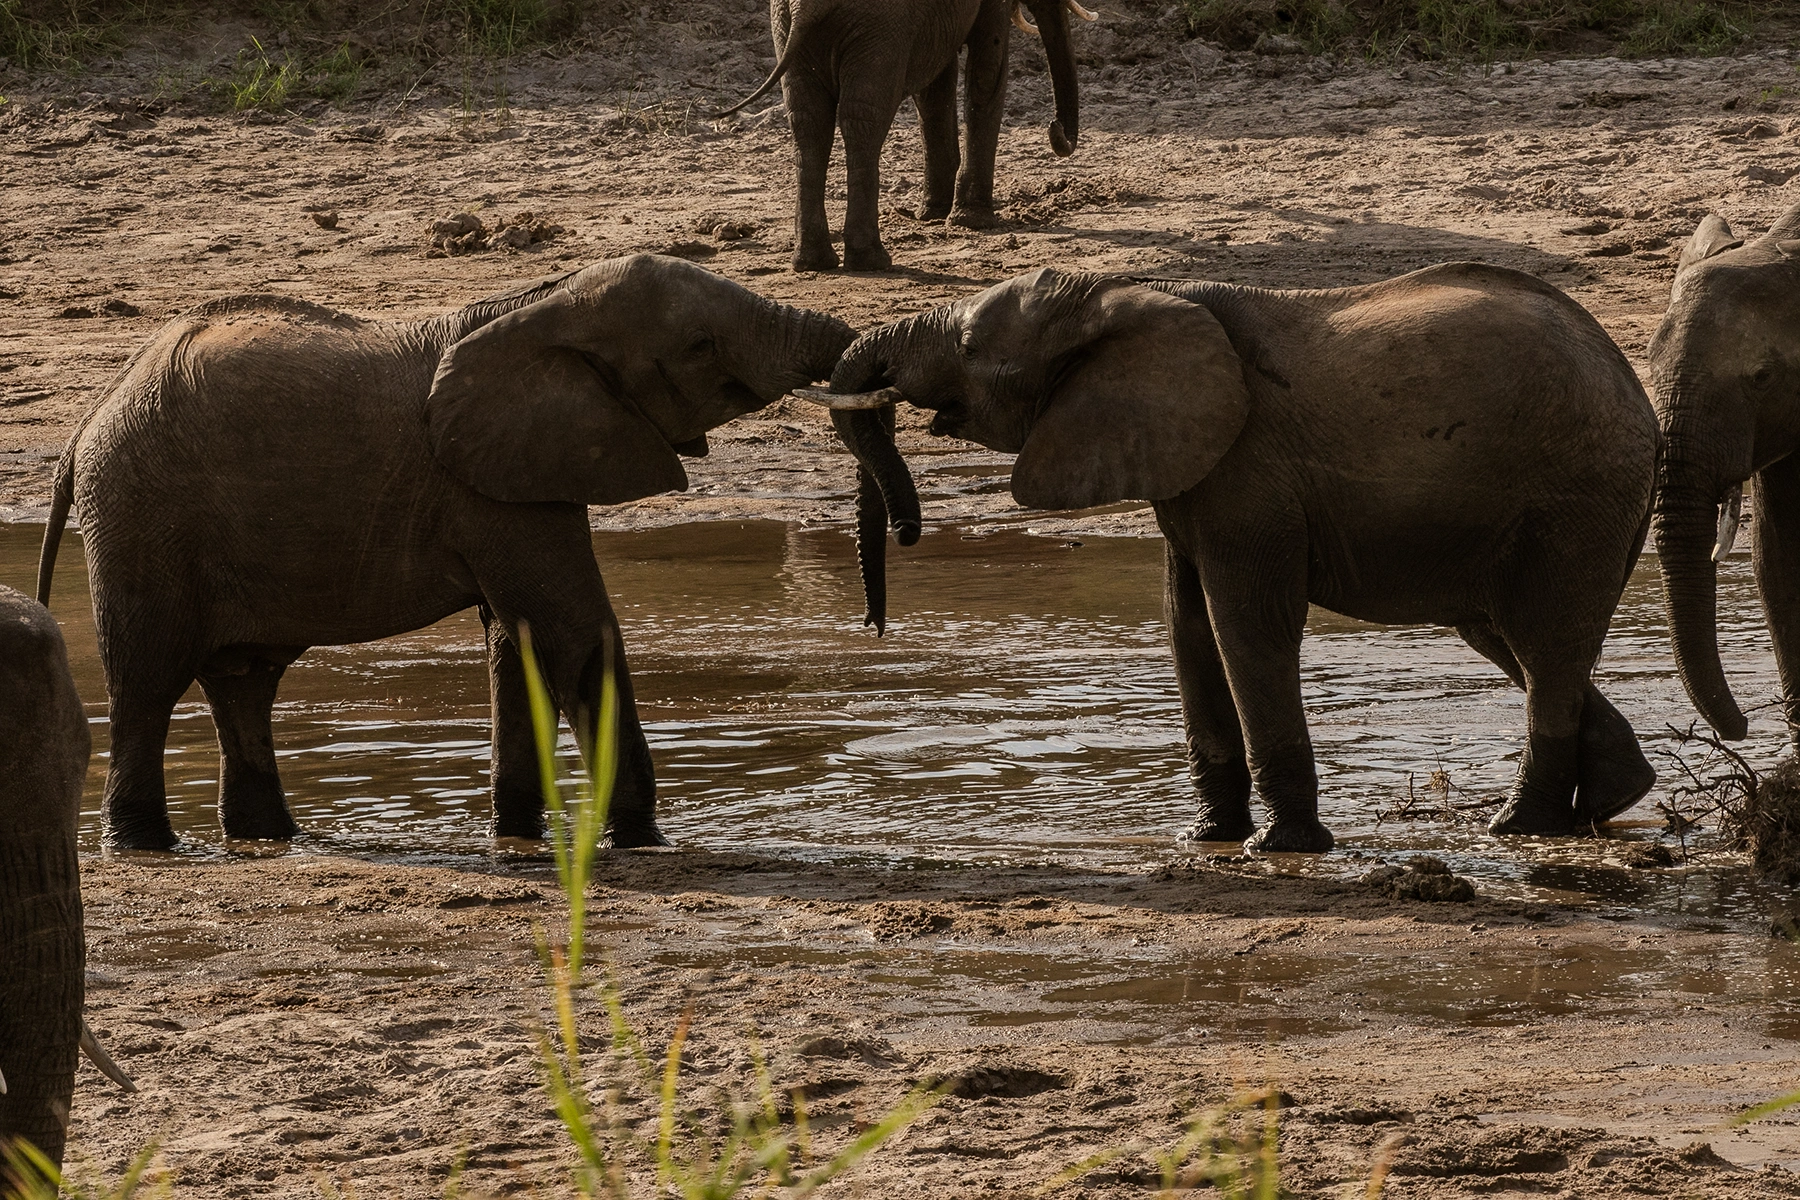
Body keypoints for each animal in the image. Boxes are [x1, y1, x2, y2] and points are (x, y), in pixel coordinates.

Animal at [35, 255, 854, 852]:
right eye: (698, 346)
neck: (542, 304)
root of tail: (85, 424)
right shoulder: (489, 489)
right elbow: (572, 632)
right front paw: (643, 842)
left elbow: (514, 642)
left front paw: (518, 838)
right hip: (144, 518)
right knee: (148, 681)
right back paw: (145, 846)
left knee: (244, 681)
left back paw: (268, 838)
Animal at [717, 0, 1090, 272]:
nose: (1056, 131)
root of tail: (803, 8)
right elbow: (987, 69)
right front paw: (974, 222)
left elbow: (935, 87)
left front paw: (935, 215)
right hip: (878, 28)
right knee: (864, 118)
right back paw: (871, 261)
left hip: (789, 27)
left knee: (809, 121)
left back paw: (814, 263)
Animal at [802, 263, 1660, 852]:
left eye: (973, 347)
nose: (905, 541)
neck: (1132, 294)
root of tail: (1631, 383)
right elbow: (1187, 624)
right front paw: (1204, 840)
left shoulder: (1250, 470)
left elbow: (1246, 624)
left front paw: (1274, 848)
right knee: (1511, 637)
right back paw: (1612, 799)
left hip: (1575, 496)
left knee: (1544, 644)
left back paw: (1519, 829)